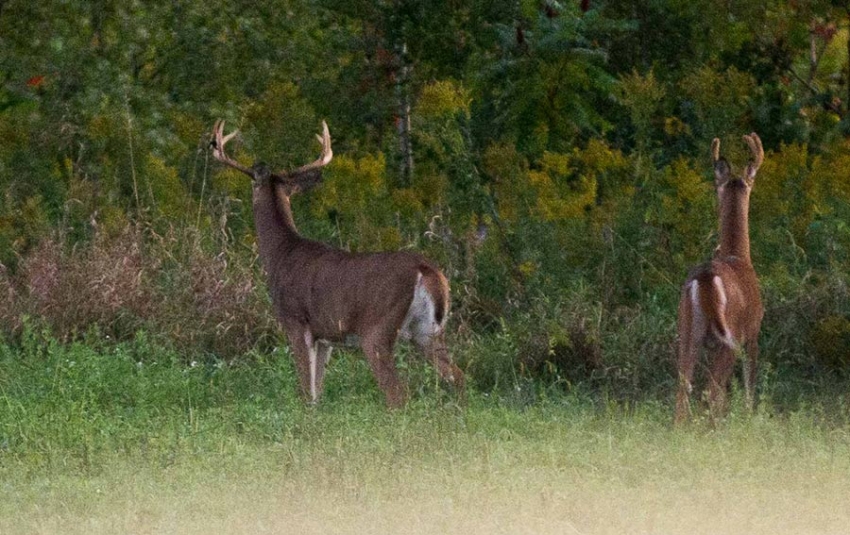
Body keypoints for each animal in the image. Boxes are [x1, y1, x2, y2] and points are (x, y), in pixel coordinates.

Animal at [211, 119, 464, 408]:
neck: (281, 253)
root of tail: (426, 270)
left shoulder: (295, 321)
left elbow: (305, 389)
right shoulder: (325, 337)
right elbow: (316, 392)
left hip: (377, 329)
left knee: (397, 392)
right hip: (428, 331)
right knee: (457, 377)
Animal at [672, 132, 764, 426]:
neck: (739, 256)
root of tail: (705, 277)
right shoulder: (752, 332)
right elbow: (748, 383)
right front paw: (749, 417)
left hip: (687, 329)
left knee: (684, 386)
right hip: (729, 335)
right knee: (711, 390)